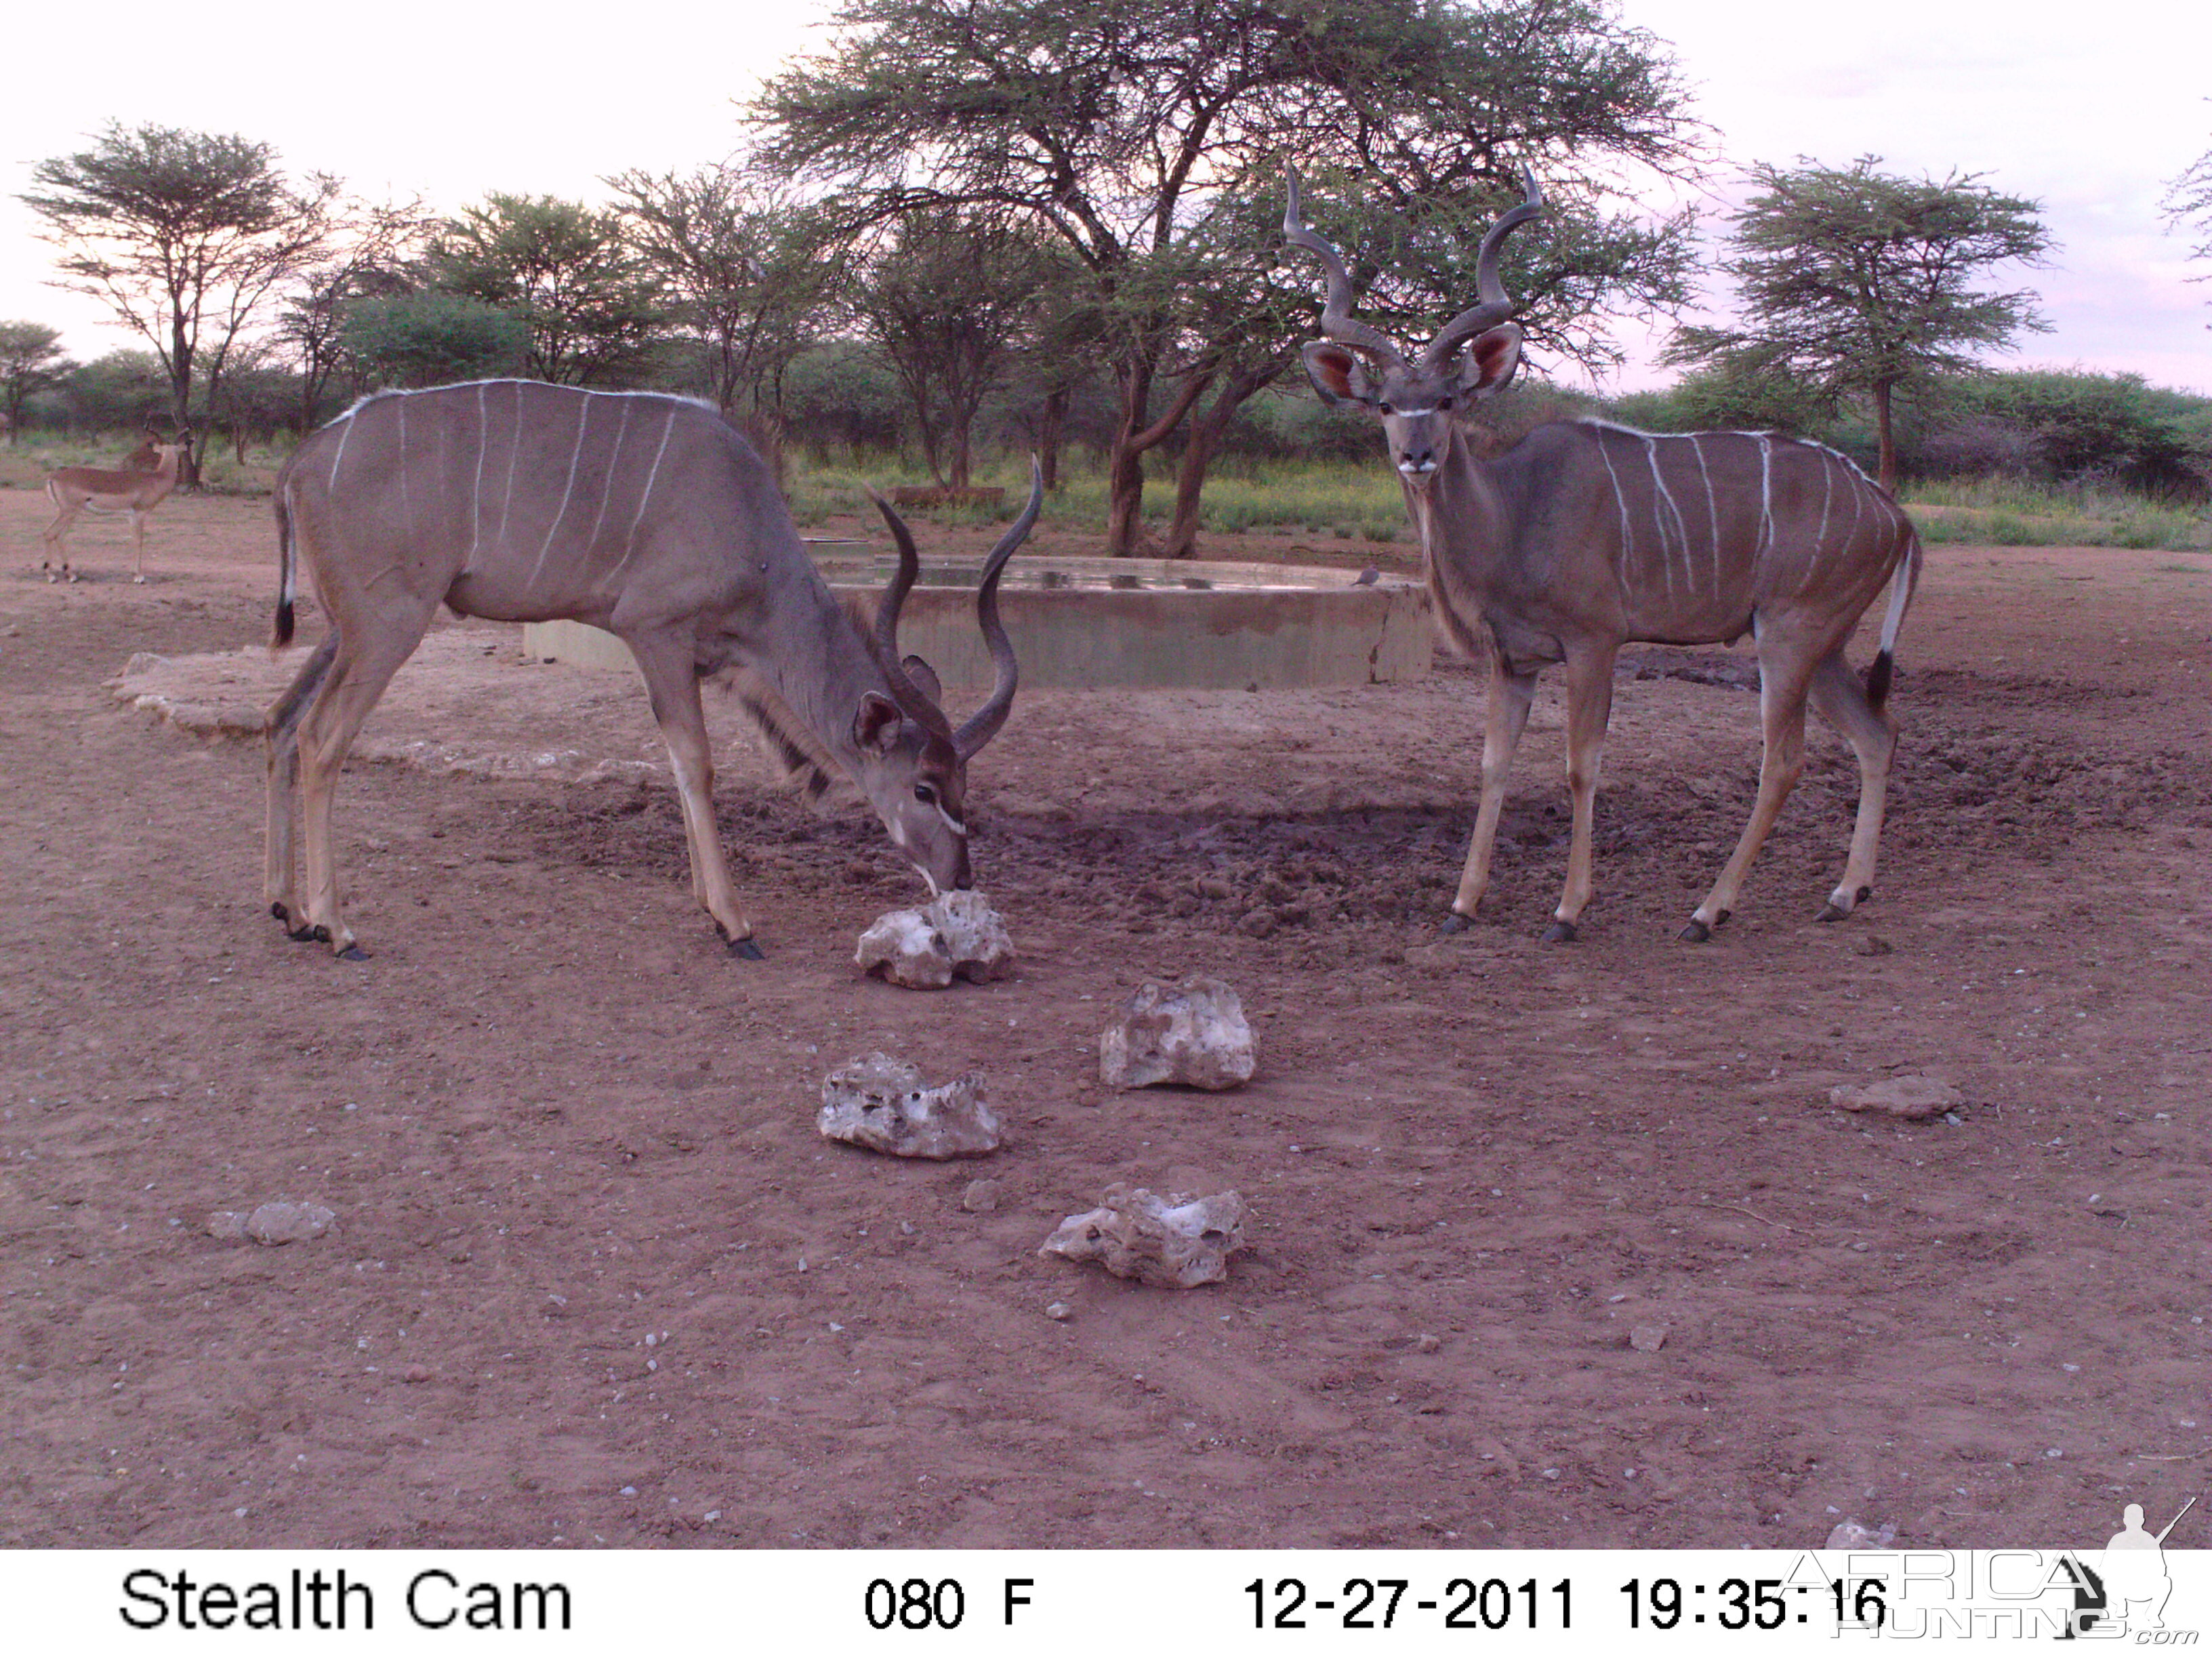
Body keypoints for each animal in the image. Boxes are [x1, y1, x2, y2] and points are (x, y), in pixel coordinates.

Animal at [263, 382, 1040, 960]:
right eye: (924, 787)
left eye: (965, 785)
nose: (959, 881)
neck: (749, 526)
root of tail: (300, 463)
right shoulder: (655, 635)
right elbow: (696, 764)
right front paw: (734, 923)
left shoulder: (690, 659)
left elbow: (678, 765)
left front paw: (709, 906)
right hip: (388, 628)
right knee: (322, 739)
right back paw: (337, 928)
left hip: (347, 632)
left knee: (280, 722)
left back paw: (289, 911)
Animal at [1283, 173, 1920, 946]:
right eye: (1383, 405)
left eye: (1447, 399)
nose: (1418, 455)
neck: (1514, 509)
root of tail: (1894, 513)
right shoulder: (1512, 660)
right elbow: (1493, 764)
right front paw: (1462, 905)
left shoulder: (1594, 643)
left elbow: (1581, 767)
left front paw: (1567, 910)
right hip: (1822, 646)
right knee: (1877, 735)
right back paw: (1847, 893)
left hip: (1790, 636)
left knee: (1785, 760)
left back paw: (1709, 911)